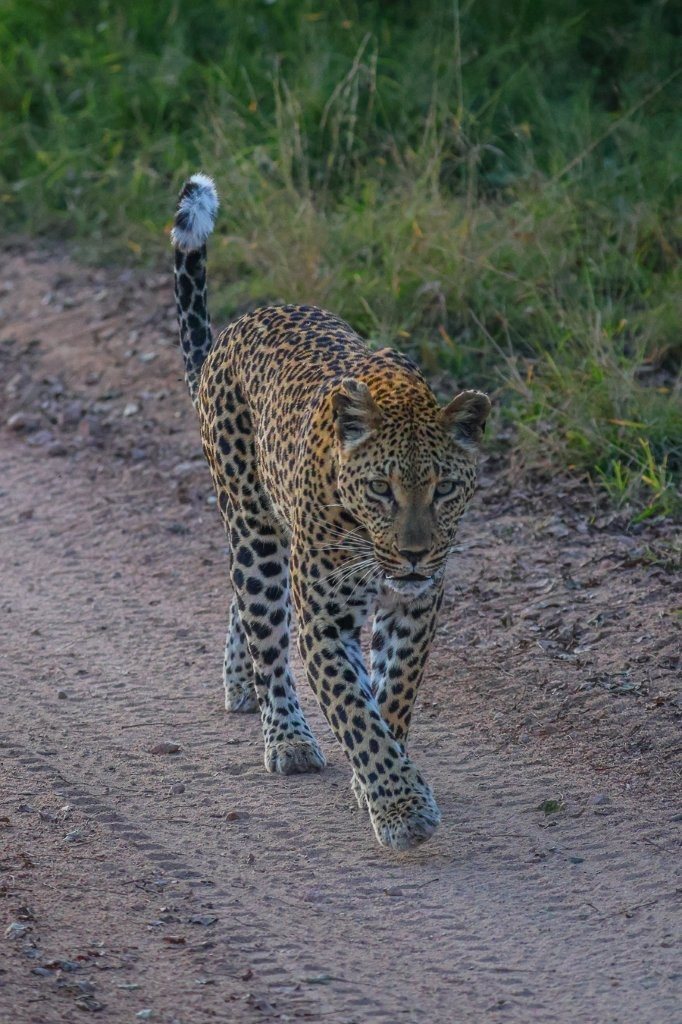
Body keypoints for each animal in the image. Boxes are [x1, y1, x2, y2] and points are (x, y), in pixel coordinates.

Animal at [171, 173, 491, 851]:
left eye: (444, 489)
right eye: (381, 490)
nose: (415, 554)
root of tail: (237, 327)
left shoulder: (417, 606)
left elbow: (391, 696)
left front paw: (378, 778)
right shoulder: (324, 617)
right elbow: (352, 708)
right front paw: (400, 807)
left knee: (246, 607)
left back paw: (240, 682)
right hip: (254, 527)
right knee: (265, 624)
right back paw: (285, 733)